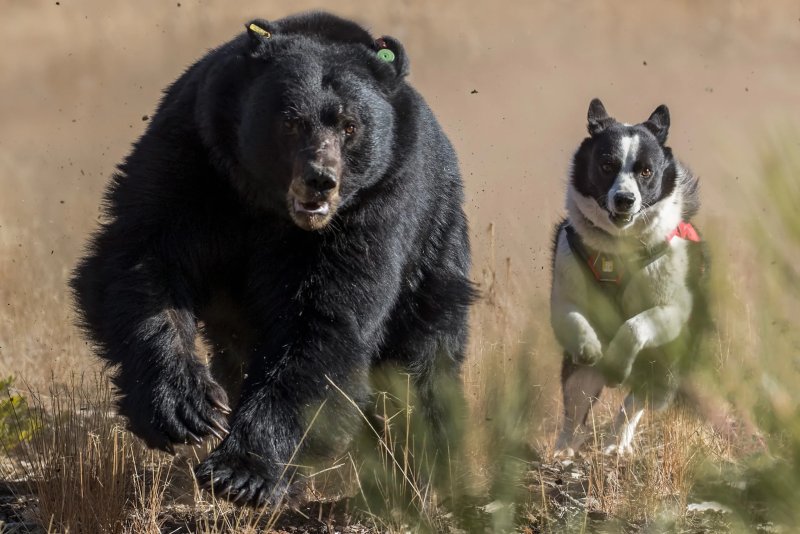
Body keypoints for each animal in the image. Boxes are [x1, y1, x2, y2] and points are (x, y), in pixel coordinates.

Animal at [70, 11, 476, 506]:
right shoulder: (195, 158)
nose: (319, 180)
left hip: (433, 257)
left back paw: (424, 468)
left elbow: (322, 322)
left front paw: (241, 472)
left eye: (350, 126)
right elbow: (143, 260)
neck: (269, 208)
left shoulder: (373, 209)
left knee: (424, 366)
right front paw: (187, 409)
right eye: (290, 121)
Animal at [552, 99, 708, 456]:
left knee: (634, 404)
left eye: (646, 171)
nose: (625, 199)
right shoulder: (564, 298)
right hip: (580, 383)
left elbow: (635, 326)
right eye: (607, 165)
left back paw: (615, 443)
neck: (618, 249)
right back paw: (564, 449)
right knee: (576, 406)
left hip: (661, 369)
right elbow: (576, 321)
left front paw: (616, 363)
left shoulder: (670, 311)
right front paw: (592, 347)